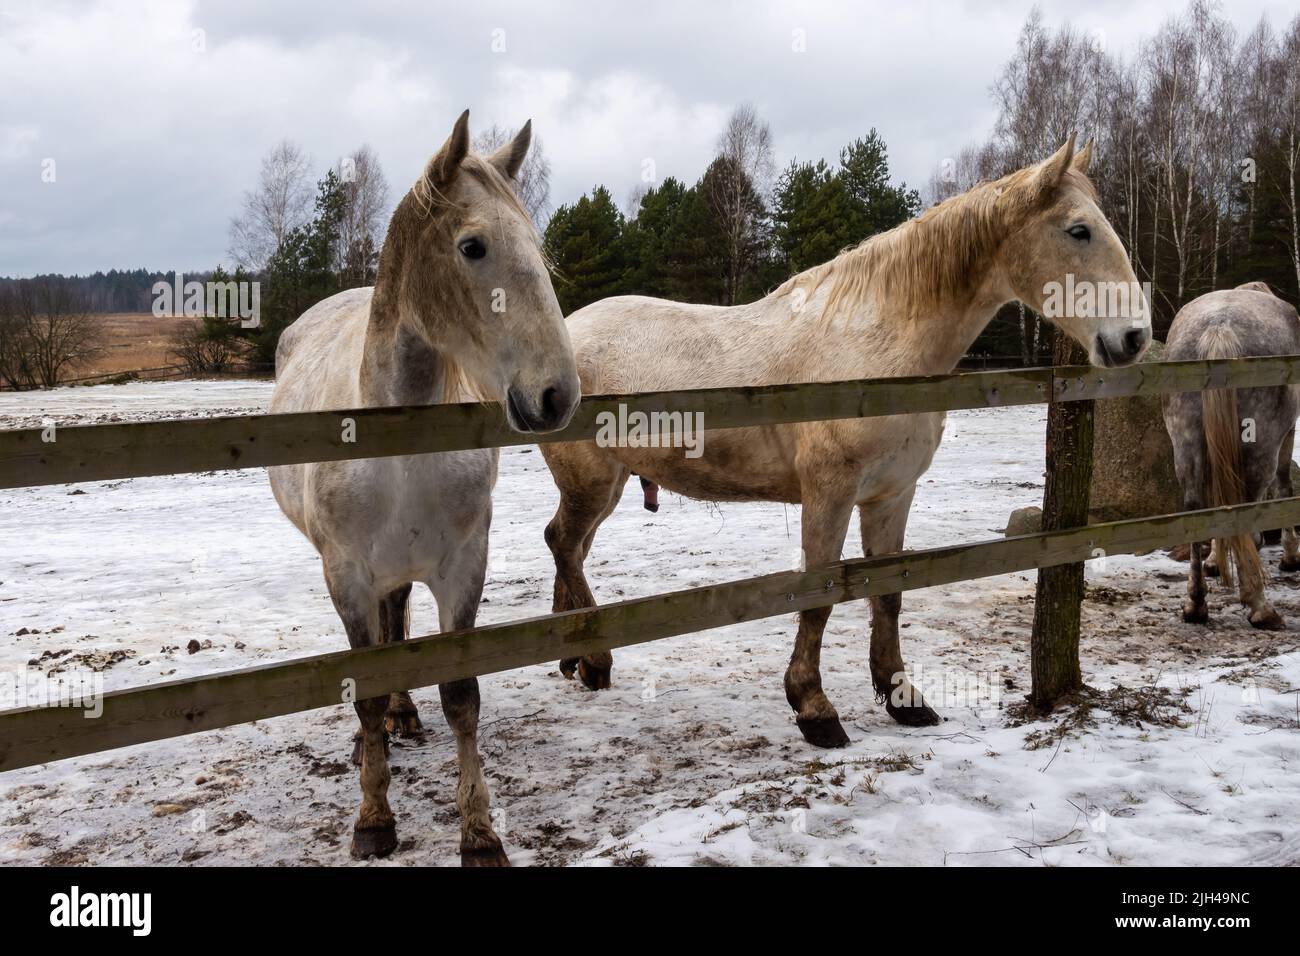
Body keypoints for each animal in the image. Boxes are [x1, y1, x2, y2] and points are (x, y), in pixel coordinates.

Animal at [269, 111, 579, 868]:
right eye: (472, 246)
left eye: (538, 246)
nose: (557, 395)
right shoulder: (347, 575)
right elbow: (365, 690)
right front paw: (374, 820)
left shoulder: (463, 566)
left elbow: (461, 693)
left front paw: (480, 833)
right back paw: (372, 743)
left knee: (400, 619)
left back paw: (404, 717)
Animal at [543, 136, 1154, 749]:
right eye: (1078, 230)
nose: (1134, 338)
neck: (875, 349)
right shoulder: (829, 495)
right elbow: (818, 598)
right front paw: (814, 707)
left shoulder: (891, 496)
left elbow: (888, 593)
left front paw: (902, 695)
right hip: (591, 482)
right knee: (565, 544)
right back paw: (596, 660)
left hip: (609, 484)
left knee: (572, 547)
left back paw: (572, 655)